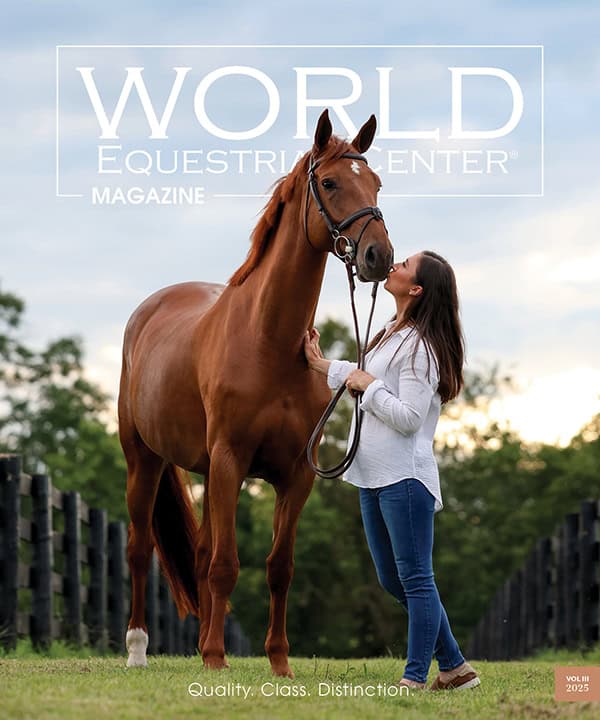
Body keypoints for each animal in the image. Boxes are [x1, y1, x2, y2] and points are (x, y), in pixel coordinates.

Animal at [118, 109, 394, 677]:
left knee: (199, 553)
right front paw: (216, 660)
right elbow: (226, 564)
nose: (379, 255)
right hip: (145, 460)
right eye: (330, 183)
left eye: (376, 182)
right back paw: (138, 650)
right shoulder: (230, 461)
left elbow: (277, 567)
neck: (269, 341)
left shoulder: (295, 476)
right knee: (140, 547)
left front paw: (278, 663)